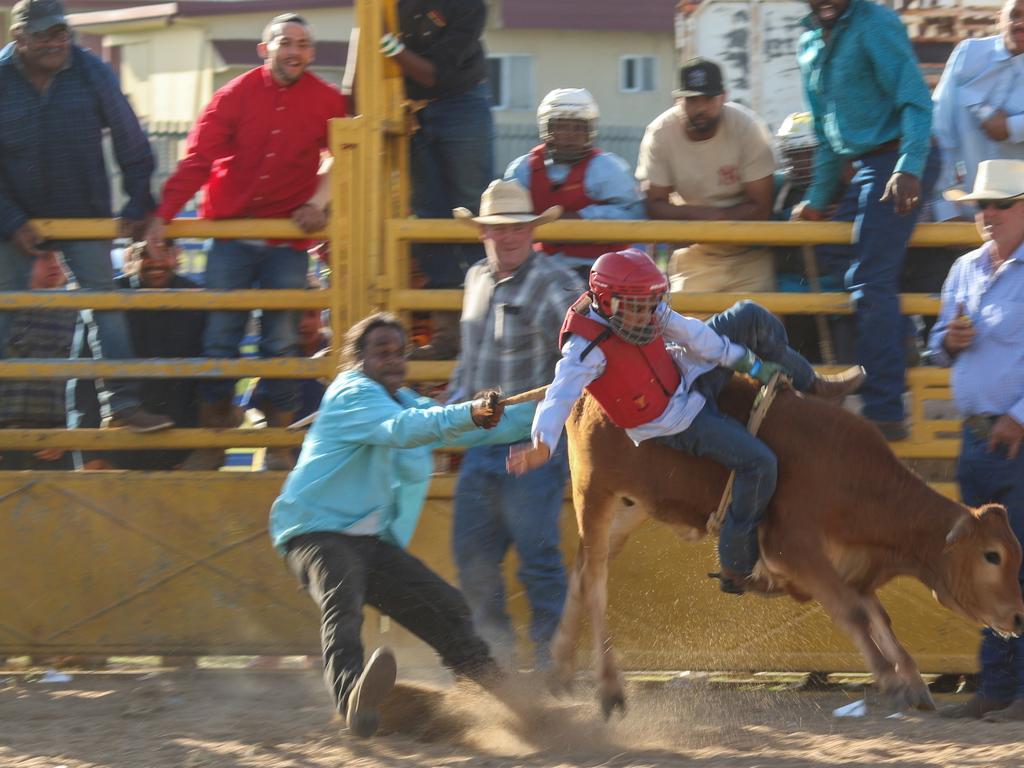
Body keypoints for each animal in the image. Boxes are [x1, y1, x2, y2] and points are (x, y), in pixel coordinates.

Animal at [557, 382, 1019, 720]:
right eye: (991, 555)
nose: (1018, 617)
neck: (855, 480)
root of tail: (582, 397)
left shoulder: (851, 565)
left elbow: (876, 615)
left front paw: (914, 681)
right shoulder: (795, 550)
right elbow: (853, 612)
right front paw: (891, 680)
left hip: (628, 509)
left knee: (580, 574)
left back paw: (556, 669)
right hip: (595, 494)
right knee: (594, 582)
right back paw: (608, 689)